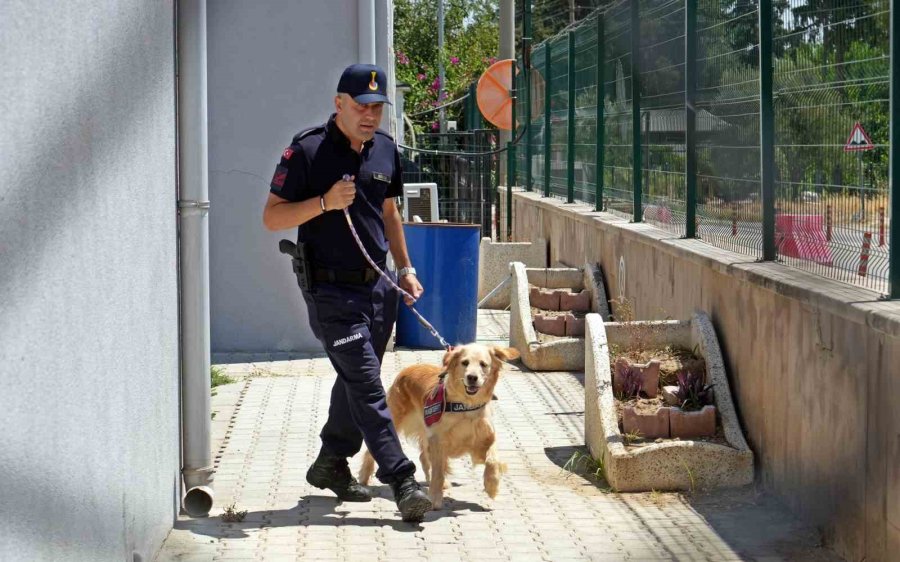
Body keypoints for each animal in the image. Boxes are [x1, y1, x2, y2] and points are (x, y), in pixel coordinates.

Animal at [356, 342, 516, 508]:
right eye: (465, 362)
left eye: (483, 364)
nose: (472, 377)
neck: (466, 406)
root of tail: (408, 369)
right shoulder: (438, 440)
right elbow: (438, 472)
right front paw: (434, 498)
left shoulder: (485, 439)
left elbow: (493, 460)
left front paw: (492, 486)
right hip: (395, 418)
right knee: (371, 450)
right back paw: (364, 476)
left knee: (424, 456)